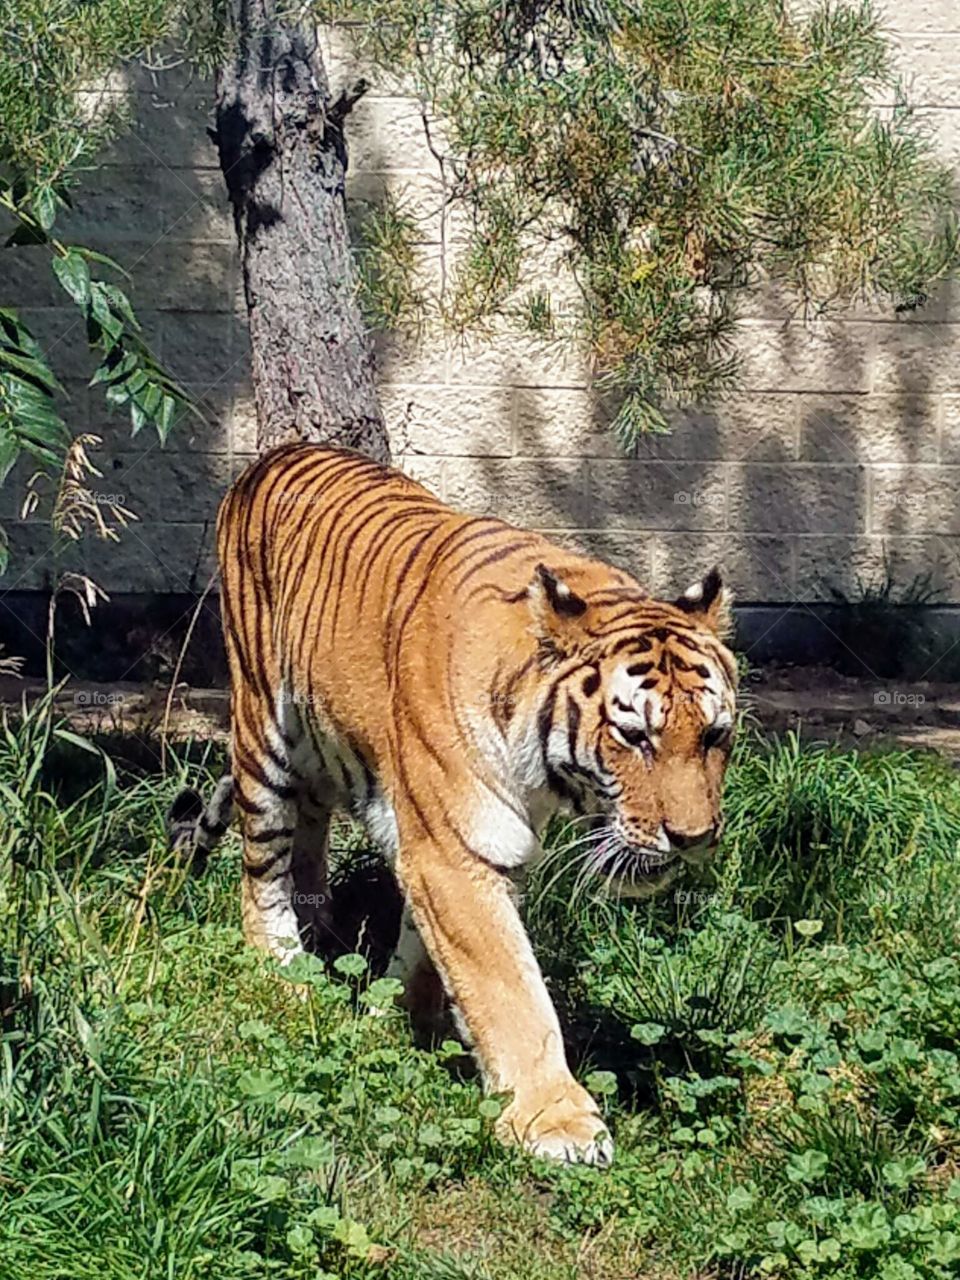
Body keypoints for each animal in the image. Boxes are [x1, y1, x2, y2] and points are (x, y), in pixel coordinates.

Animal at [169, 442, 738, 1167]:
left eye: (714, 736)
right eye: (634, 737)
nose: (693, 837)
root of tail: (274, 456)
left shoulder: (445, 848)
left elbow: (430, 954)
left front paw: (402, 1021)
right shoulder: (456, 849)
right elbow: (509, 987)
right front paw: (556, 1122)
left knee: (310, 830)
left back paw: (320, 923)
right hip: (262, 723)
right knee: (260, 867)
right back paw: (284, 968)